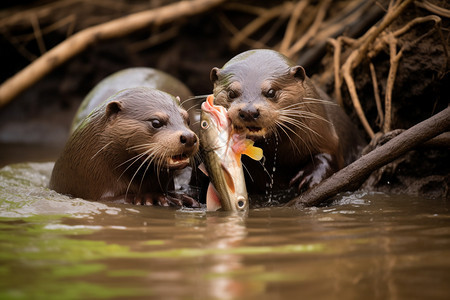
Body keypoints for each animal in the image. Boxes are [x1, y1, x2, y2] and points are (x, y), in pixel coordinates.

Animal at [211, 49, 366, 199]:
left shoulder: (325, 133)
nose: (249, 111)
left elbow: (330, 155)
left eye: (271, 92)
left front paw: (308, 178)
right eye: (231, 93)